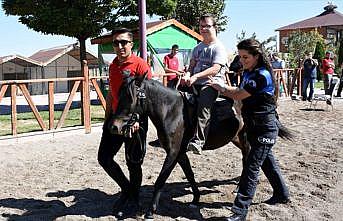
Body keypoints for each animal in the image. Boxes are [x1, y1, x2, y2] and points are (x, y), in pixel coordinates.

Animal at [111, 74, 292, 219]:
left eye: (131, 97)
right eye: (119, 95)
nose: (114, 126)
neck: (171, 112)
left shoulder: (173, 152)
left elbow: (161, 179)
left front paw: (150, 211)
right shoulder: (180, 153)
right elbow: (189, 174)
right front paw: (196, 198)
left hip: (246, 138)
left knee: (247, 159)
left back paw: (240, 187)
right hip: (237, 139)